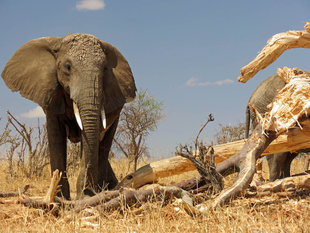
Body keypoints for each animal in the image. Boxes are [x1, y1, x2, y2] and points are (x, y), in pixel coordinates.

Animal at [1, 33, 136, 199]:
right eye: (67, 67)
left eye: (105, 68)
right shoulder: (51, 93)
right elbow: (56, 136)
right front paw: (59, 198)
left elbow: (89, 139)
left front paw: (85, 197)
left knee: (104, 145)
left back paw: (105, 189)